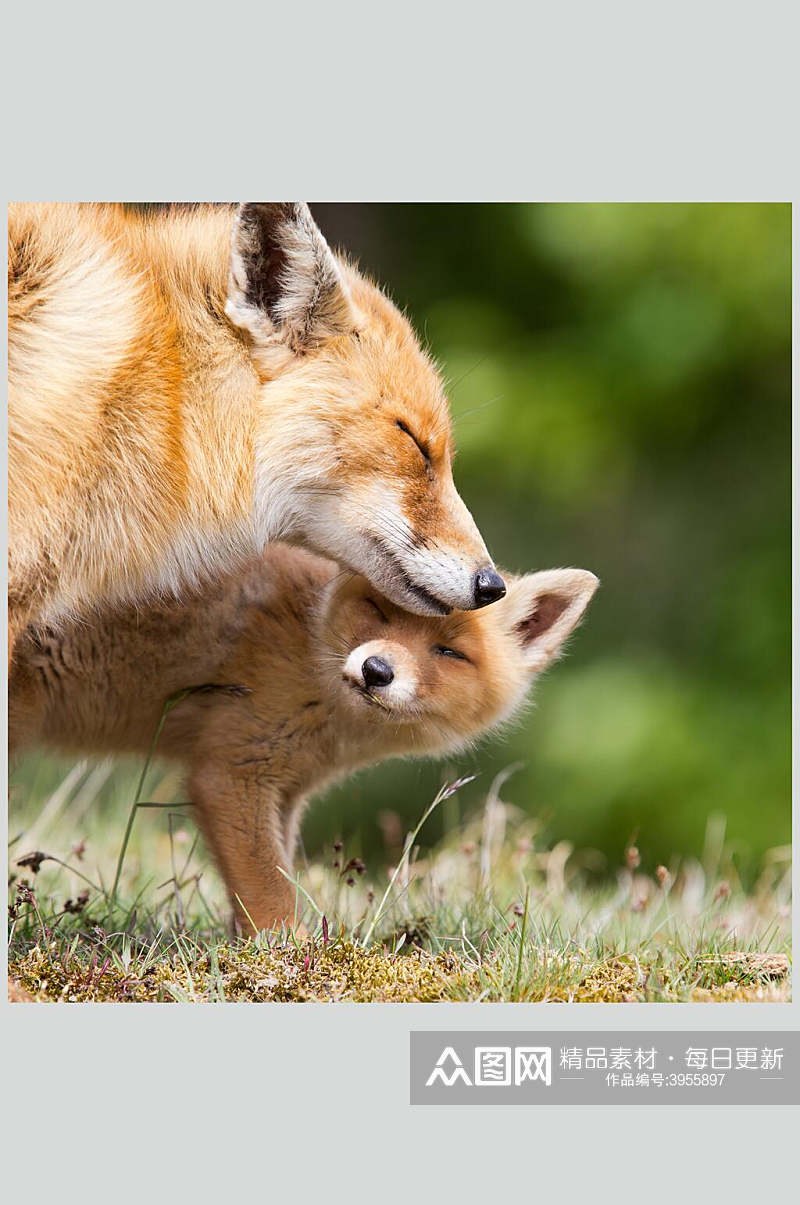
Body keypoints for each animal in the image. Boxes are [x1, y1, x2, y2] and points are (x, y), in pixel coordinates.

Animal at [9, 547, 597, 930]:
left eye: (450, 653)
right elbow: (270, 893)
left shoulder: (287, 789)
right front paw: (287, 960)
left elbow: (275, 876)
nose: (377, 670)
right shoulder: (231, 775)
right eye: (379, 611)